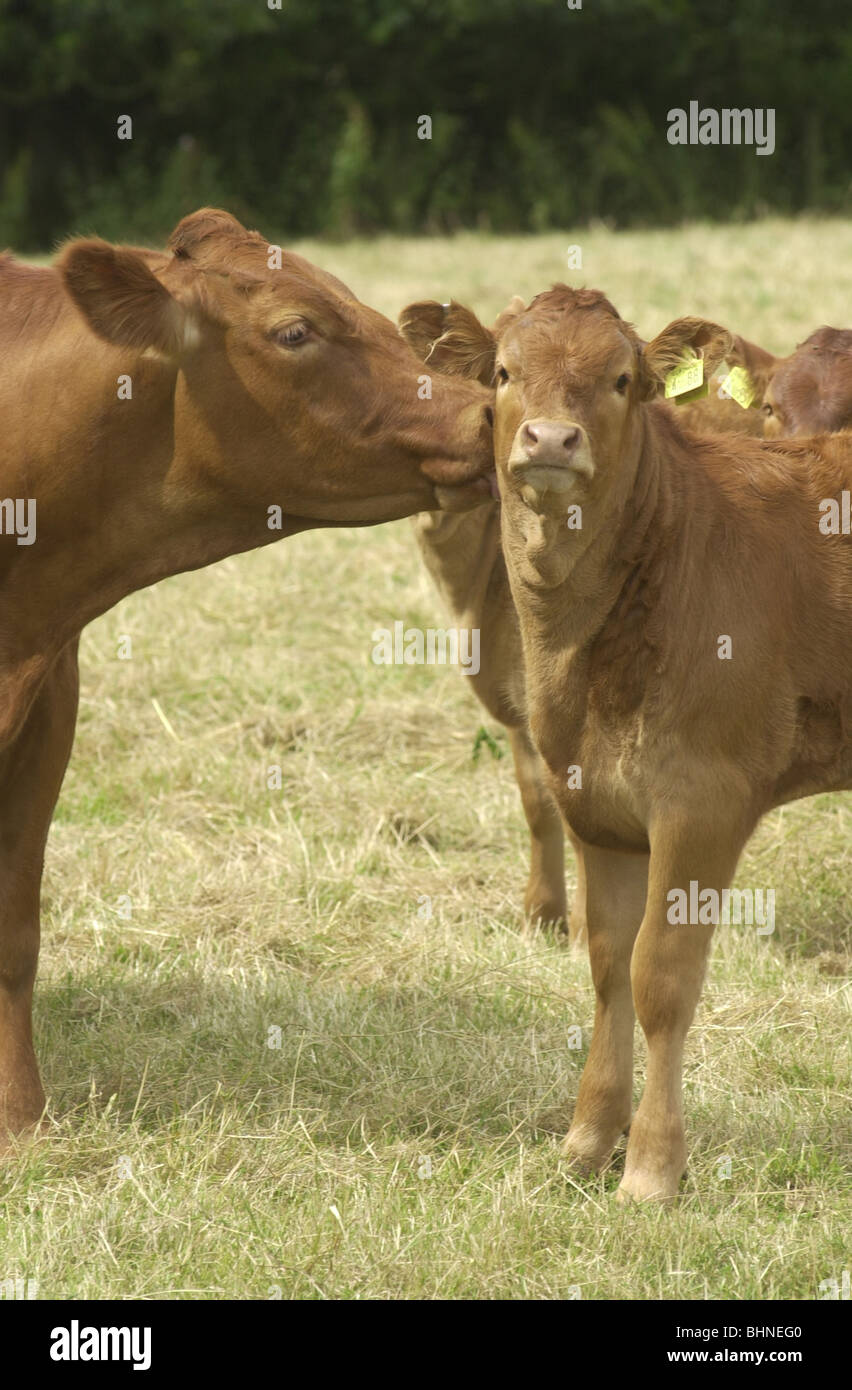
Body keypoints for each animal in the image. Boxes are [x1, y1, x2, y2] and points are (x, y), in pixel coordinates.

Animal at [405, 287, 850, 1200]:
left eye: (619, 379)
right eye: (504, 373)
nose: (549, 440)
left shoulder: (703, 801)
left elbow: (662, 978)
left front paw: (651, 1168)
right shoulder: (593, 802)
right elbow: (609, 962)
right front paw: (585, 1142)